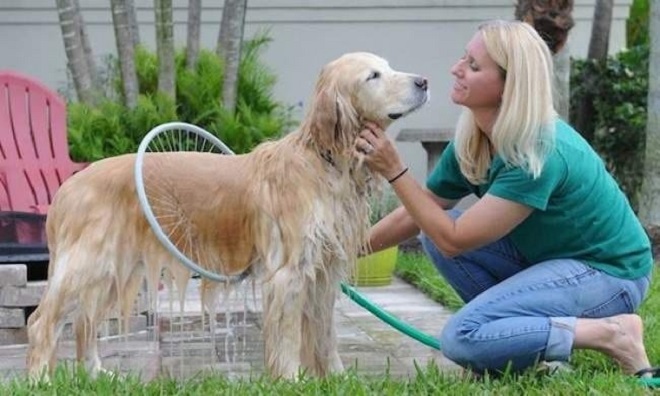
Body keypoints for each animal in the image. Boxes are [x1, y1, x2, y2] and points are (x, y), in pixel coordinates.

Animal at [24, 51, 428, 378]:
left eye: (389, 66)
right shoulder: (288, 273)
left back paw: (96, 373)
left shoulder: (323, 272)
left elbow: (325, 336)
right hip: (87, 265)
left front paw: (336, 379)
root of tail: (69, 186)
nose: (424, 81)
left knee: (84, 324)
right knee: (41, 322)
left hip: (112, 272)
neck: (324, 160)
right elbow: (288, 338)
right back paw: (41, 380)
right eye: (373, 76)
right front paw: (291, 380)